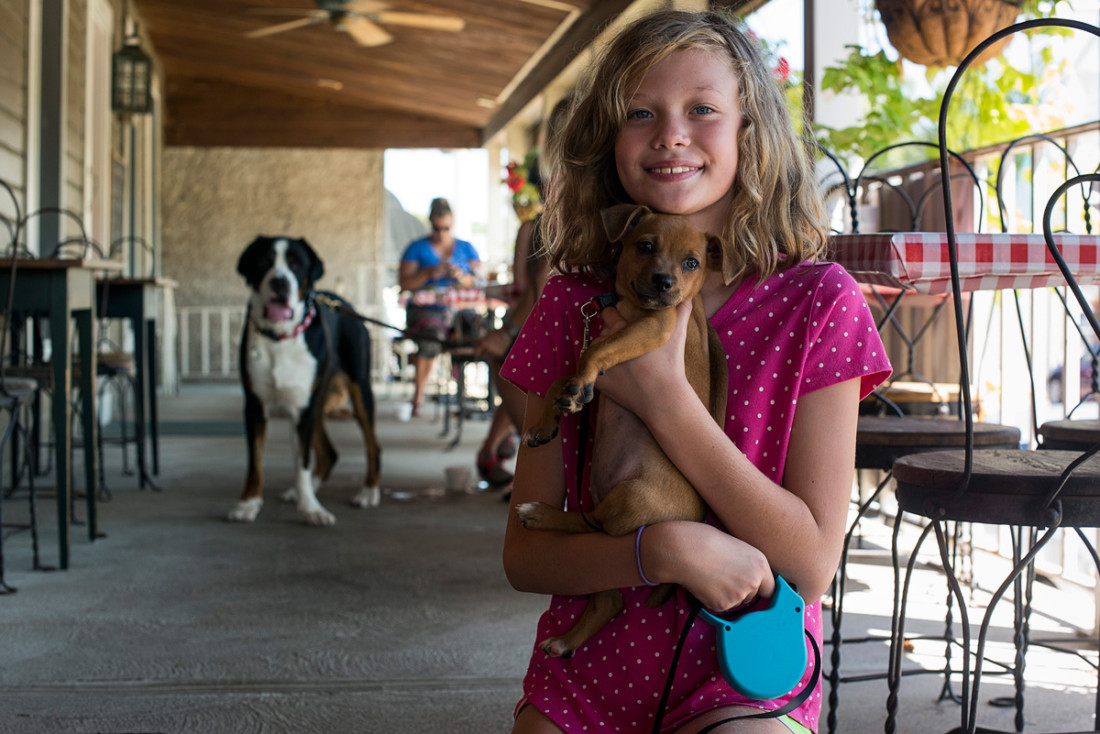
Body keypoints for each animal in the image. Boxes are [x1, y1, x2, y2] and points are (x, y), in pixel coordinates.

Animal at [229, 234, 380, 521]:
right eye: (264, 261)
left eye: (296, 264)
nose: (280, 282)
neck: (281, 337)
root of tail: (342, 302)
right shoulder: (254, 405)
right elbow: (255, 460)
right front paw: (248, 503)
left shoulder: (303, 409)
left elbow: (303, 462)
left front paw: (311, 509)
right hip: (318, 403)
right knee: (328, 454)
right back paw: (298, 491)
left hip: (358, 390)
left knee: (372, 445)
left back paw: (368, 492)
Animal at [517, 203, 726, 655]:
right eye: (645, 246)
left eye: (692, 263)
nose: (664, 282)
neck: (631, 304)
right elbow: (561, 377)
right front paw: (548, 419)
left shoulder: (656, 326)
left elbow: (592, 352)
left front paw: (580, 386)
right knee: (609, 596)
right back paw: (567, 640)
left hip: (629, 497)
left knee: (589, 523)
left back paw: (539, 515)